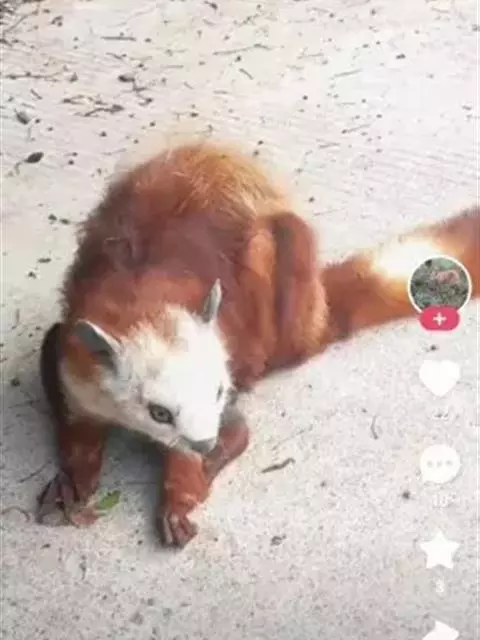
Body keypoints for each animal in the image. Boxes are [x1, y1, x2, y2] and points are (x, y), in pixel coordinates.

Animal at [35, 140, 480, 548]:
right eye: (159, 413)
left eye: (215, 393)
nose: (206, 442)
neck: (142, 307)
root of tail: (315, 315)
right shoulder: (76, 360)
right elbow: (67, 394)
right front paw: (75, 474)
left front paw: (186, 483)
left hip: (287, 309)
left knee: (268, 246)